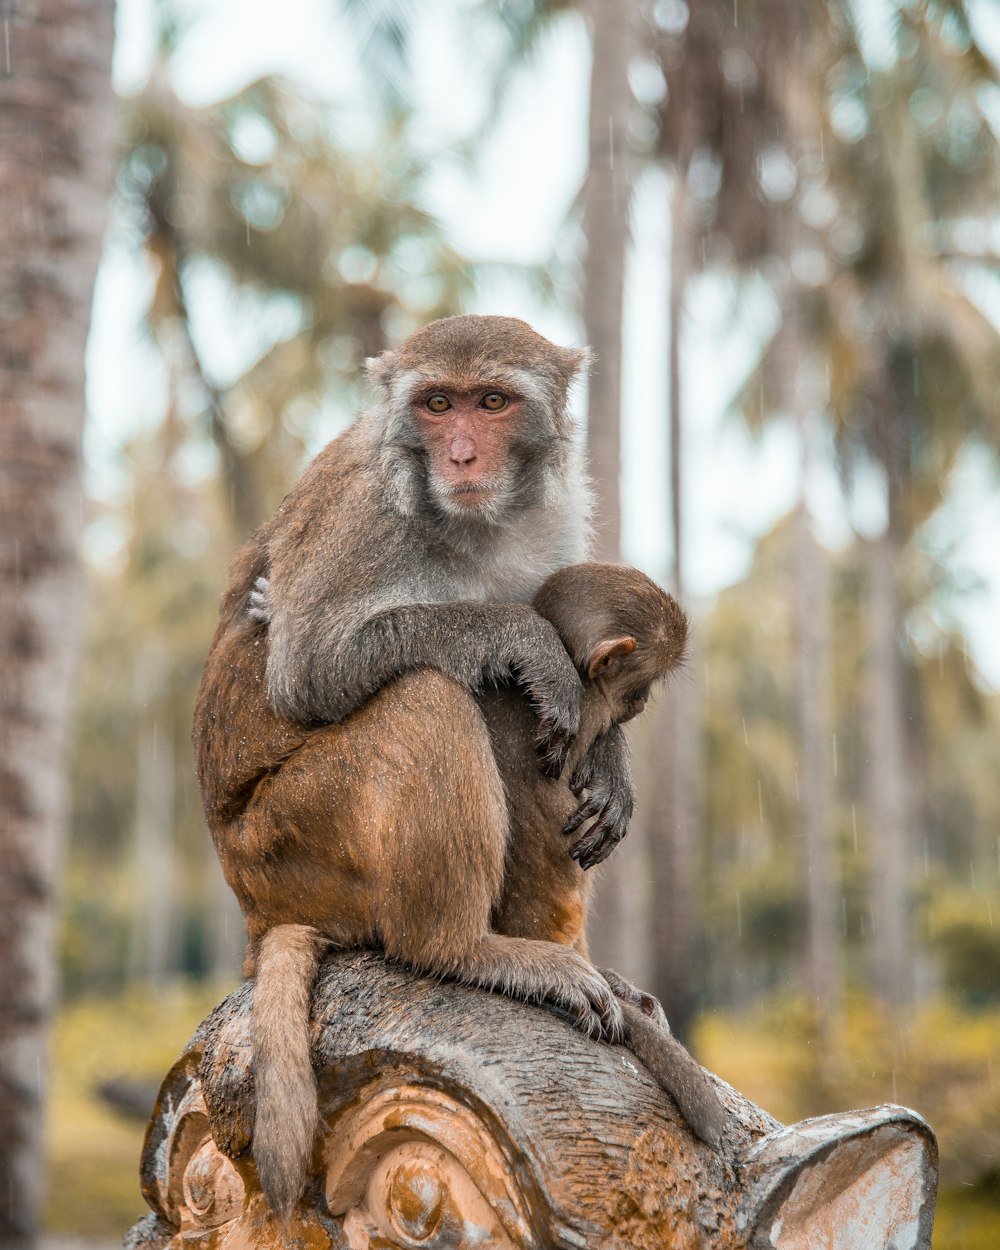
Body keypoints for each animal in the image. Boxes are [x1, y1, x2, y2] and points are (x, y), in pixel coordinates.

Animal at [197, 560, 725, 1220]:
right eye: (639, 689)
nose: (641, 705)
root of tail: (257, 918)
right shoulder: (557, 727)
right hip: (297, 844)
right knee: (424, 690)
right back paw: (462, 950)